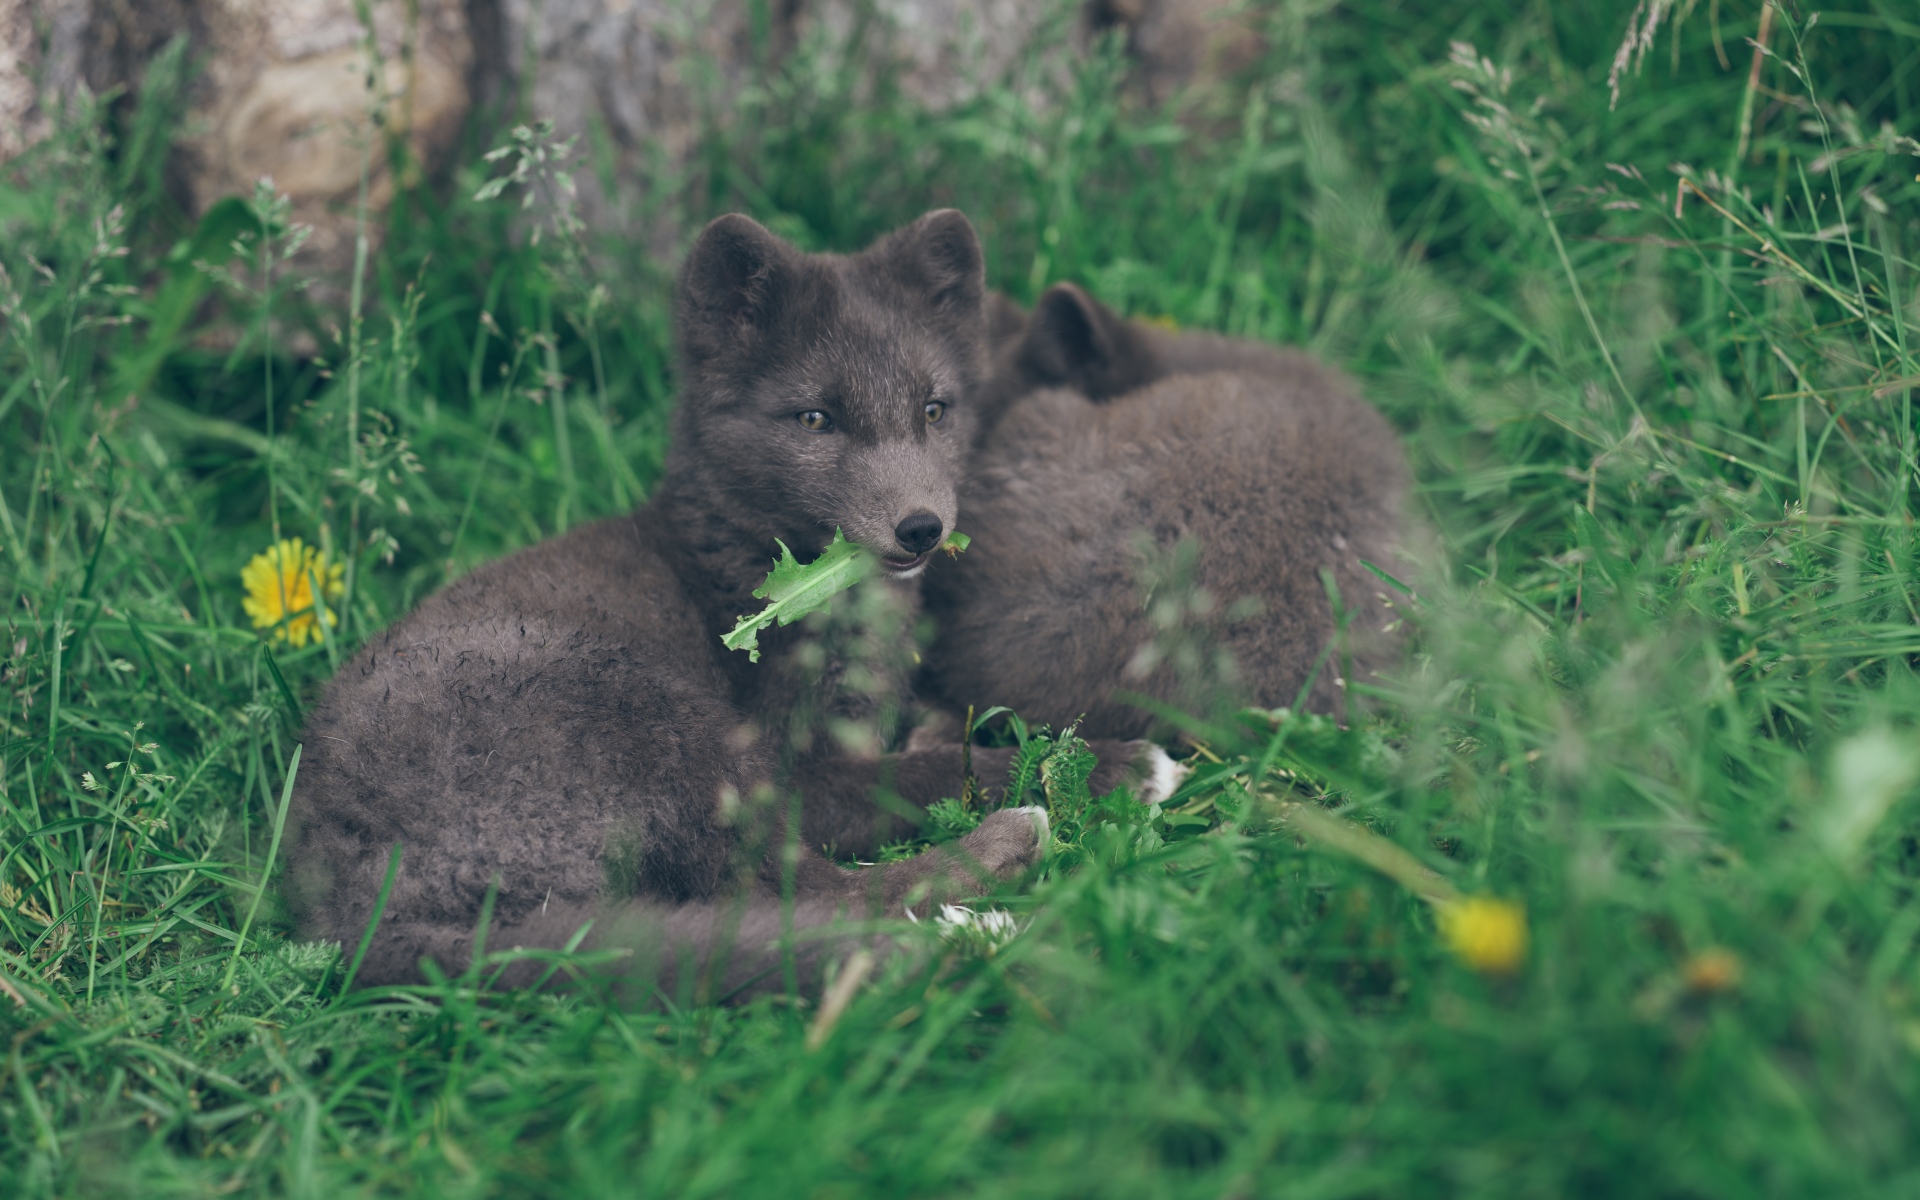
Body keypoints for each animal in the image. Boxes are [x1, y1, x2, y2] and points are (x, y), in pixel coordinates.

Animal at [287, 213, 1171, 1000]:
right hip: (669, 731)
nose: (921, 528)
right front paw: (1107, 763)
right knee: (807, 896)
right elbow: (921, 776)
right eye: (815, 418)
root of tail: (348, 909)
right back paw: (990, 887)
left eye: (934, 410)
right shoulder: (797, 767)